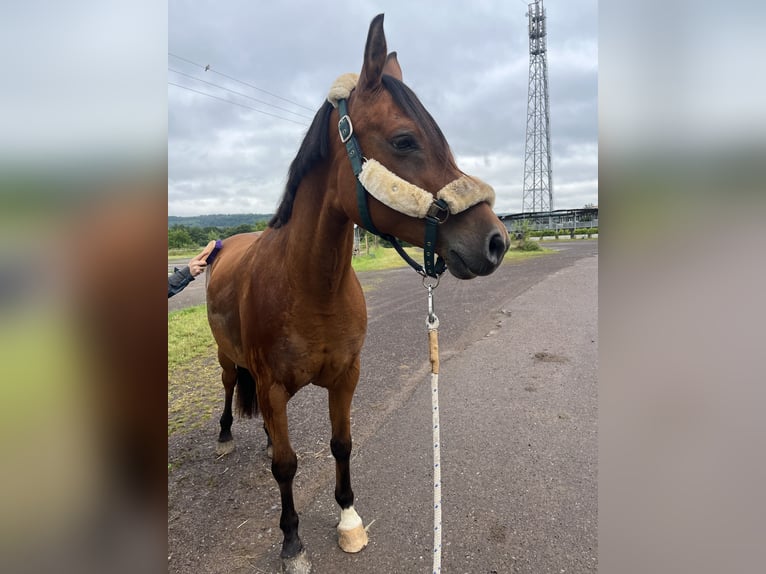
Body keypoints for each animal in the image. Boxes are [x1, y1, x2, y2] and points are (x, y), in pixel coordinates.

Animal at [207, 13, 512, 574]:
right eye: (405, 140)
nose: (496, 241)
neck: (310, 288)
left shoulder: (346, 376)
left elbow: (341, 445)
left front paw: (349, 520)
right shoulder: (274, 387)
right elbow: (287, 466)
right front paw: (292, 542)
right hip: (228, 359)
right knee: (228, 387)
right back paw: (223, 438)